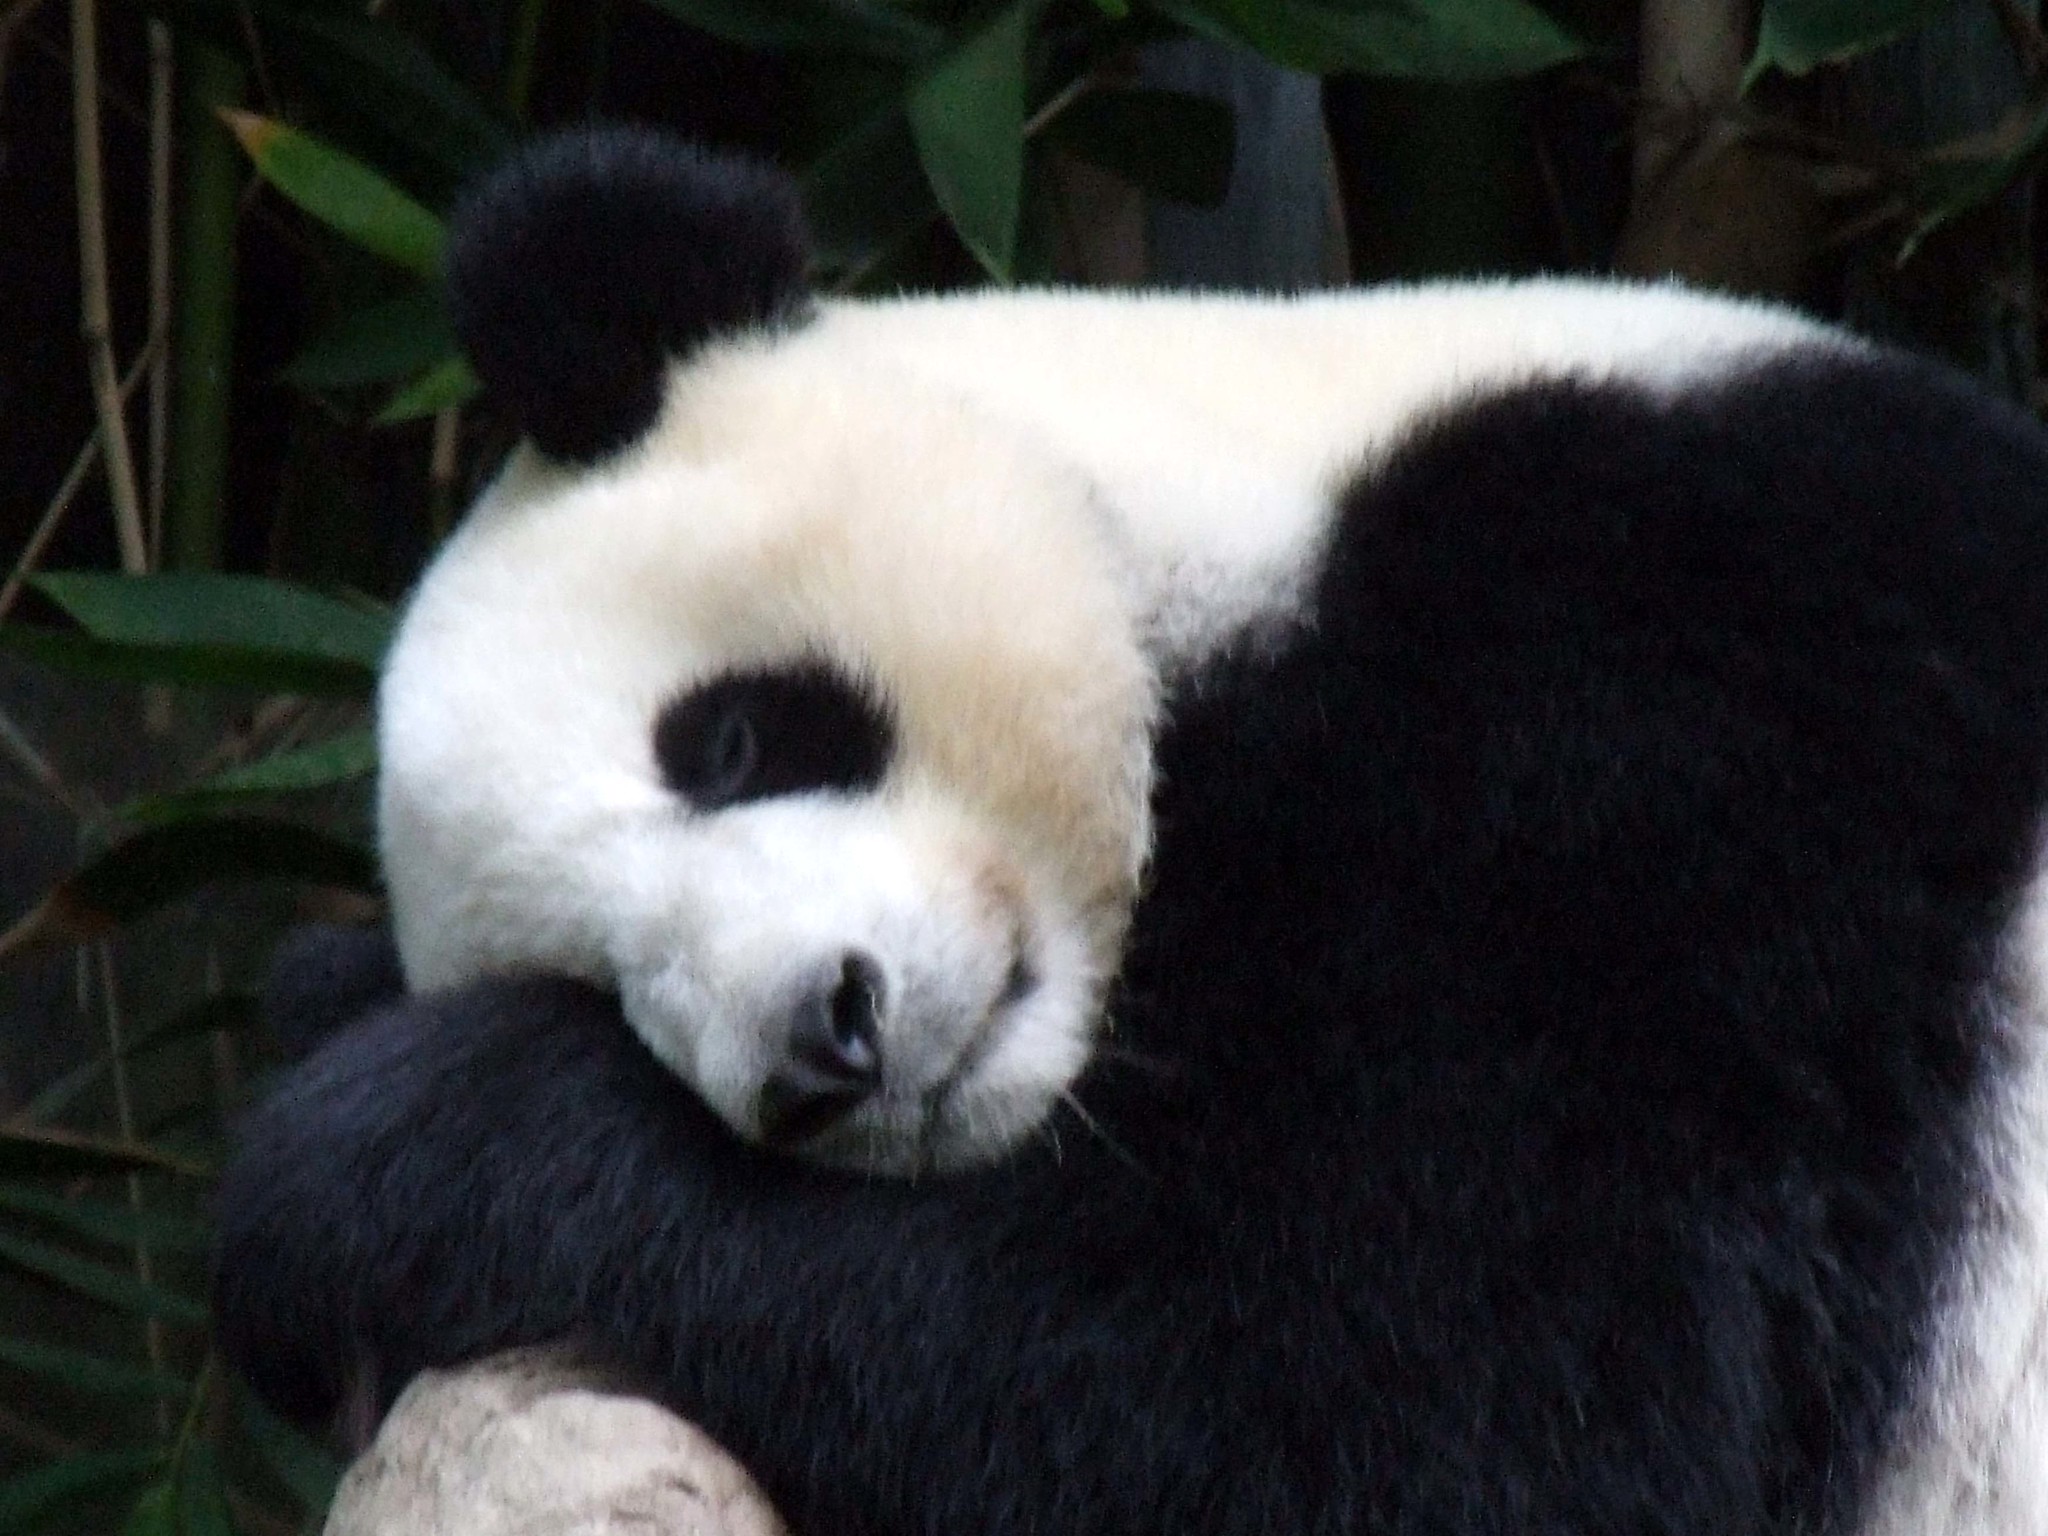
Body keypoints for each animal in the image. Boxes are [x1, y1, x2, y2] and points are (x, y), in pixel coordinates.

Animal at [214, 125, 2048, 1535]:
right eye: (599, 981)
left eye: (725, 740)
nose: (822, 1048)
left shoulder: (1687, 675)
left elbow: (1429, 1389)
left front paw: (360, 1148)